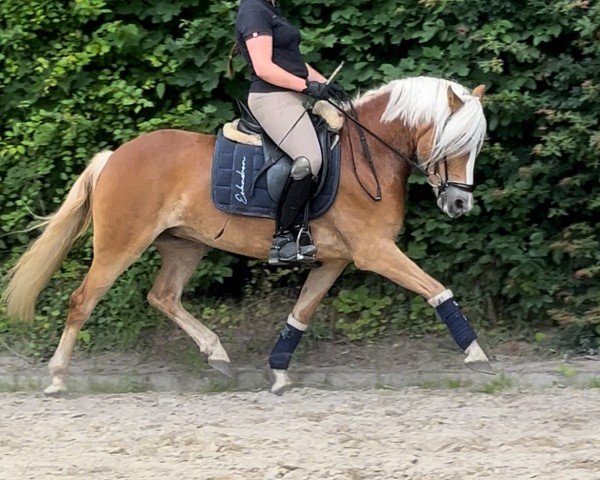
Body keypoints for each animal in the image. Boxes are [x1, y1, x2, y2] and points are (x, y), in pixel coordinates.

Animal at [3, 77, 492, 396]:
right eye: (455, 142)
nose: (460, 204)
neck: (366, 152)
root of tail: (116, 155)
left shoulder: (335, 260)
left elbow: (301, 313)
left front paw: (278, 372)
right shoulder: (375, 251)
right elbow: (436, 289)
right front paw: (476, 353)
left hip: (186, 245)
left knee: (163, 296)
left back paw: (216, 354)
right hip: (120, 245)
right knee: (83, 300)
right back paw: (56, 377)